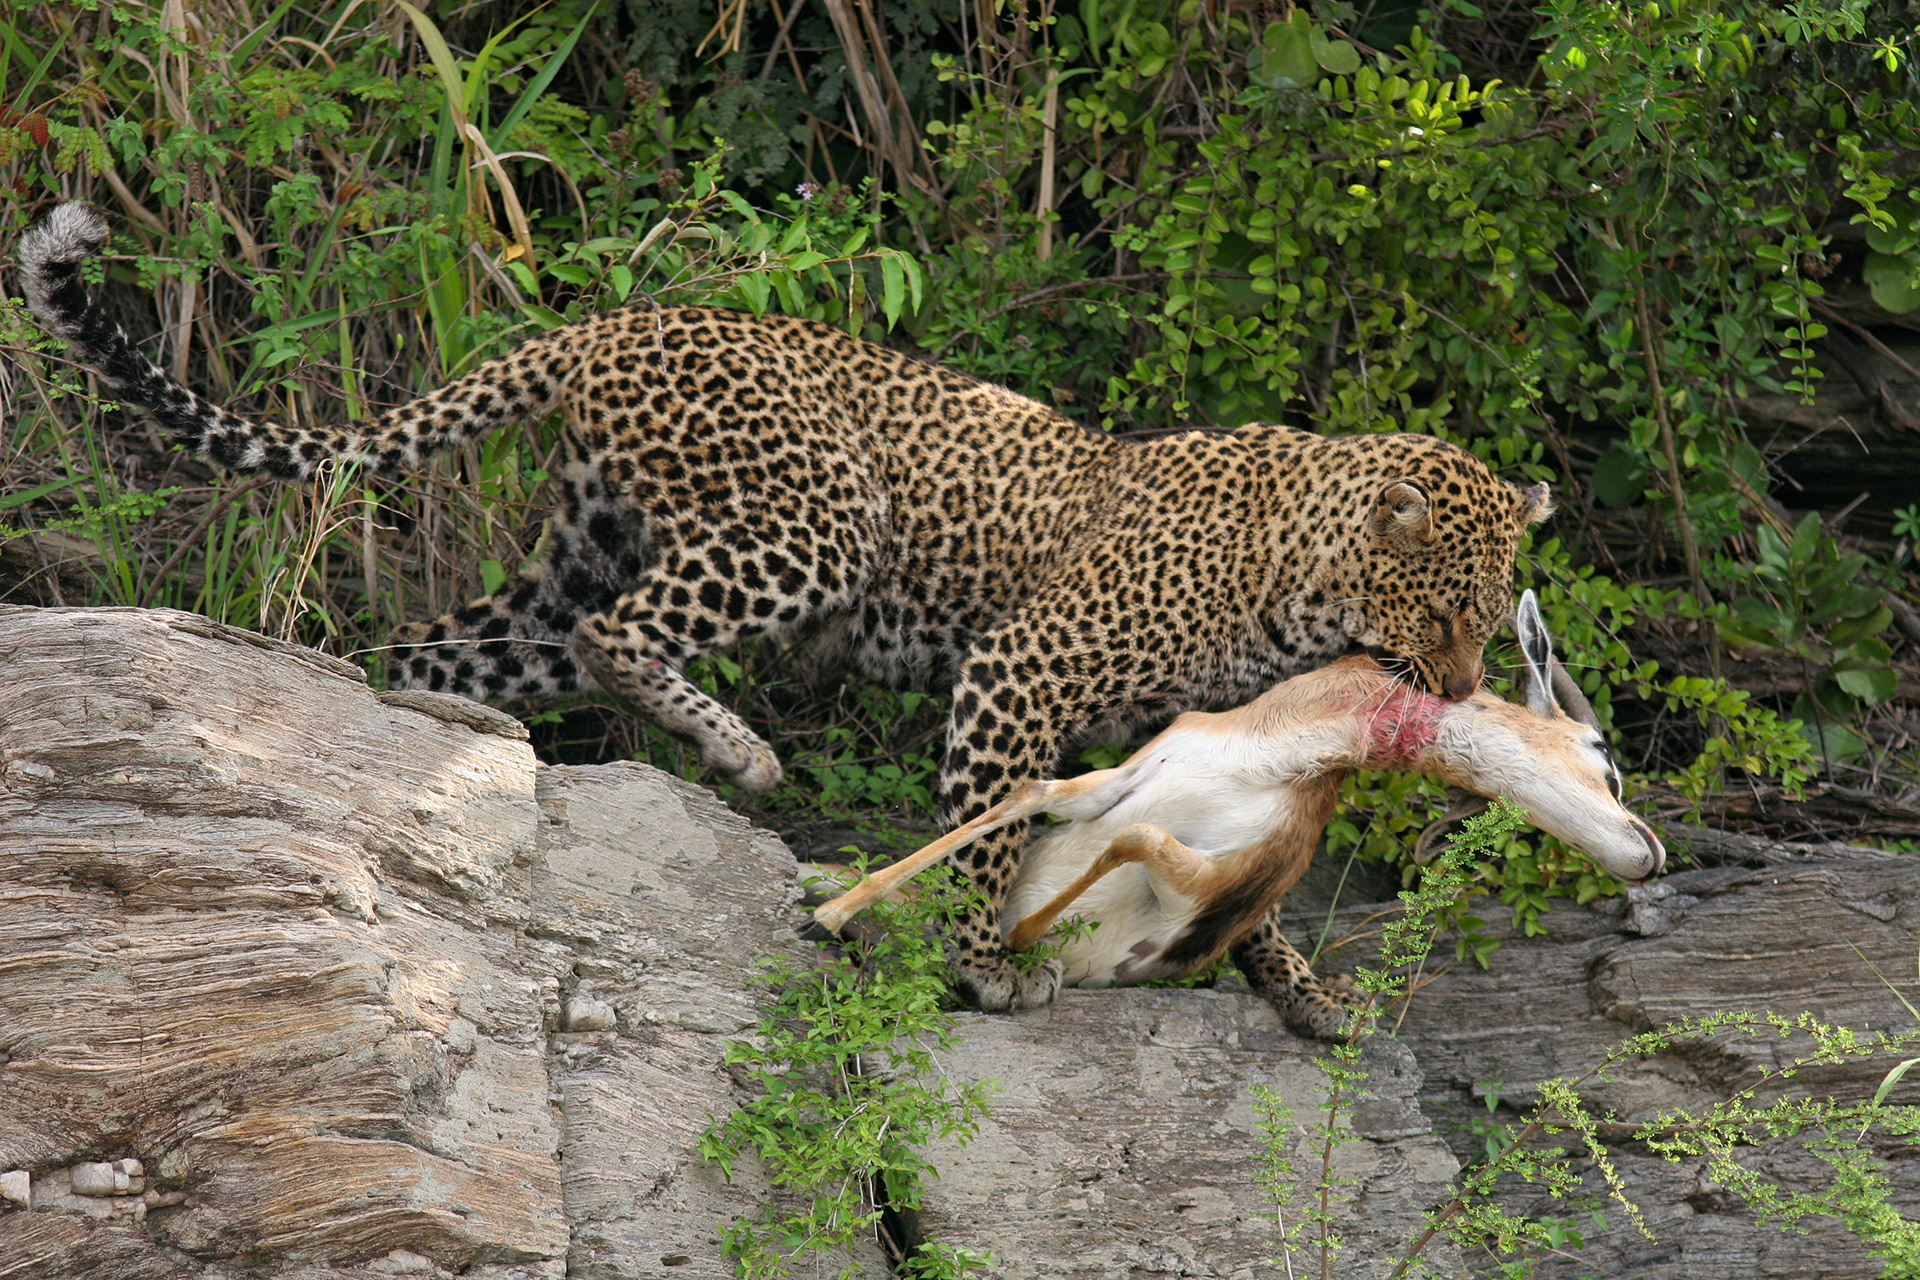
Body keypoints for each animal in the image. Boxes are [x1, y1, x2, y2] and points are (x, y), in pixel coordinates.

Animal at [21, 201, 1548, 1038]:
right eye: (1450, 607)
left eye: (1493, 616)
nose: (1463, 690)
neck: (1299, 573)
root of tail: (615, 321)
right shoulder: (1019, 666)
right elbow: (989, 828)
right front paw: (981, 968)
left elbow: (1250, 881)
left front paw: (1299, 989)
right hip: (818, 521)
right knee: (620, 636)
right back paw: (740, 753)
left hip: (581, 547)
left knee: (458, 641)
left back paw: (422, 713)